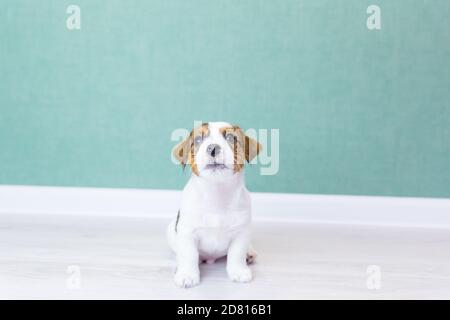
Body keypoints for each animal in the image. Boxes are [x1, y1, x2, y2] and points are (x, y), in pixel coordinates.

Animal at [168, 122, 260, 288]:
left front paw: (239, 271)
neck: (216, 192)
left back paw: (249, 254)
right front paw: (187, 274)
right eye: (198, 140)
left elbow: (236, 253)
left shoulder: (241, 232)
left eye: (231, 137)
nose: (213, 148)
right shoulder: (187, 233)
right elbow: (189, 255)